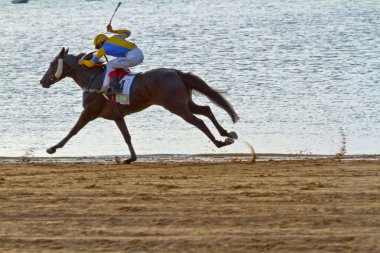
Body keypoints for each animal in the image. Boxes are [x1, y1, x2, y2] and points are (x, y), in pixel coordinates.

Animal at [40, 47, 239, 164]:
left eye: (51, 63)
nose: (42, 81)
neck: (93, 80)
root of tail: (176, 72)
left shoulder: (90, 111)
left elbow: (73, 130)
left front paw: (52, 148)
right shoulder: (117, 116)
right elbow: (126, 136)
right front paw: (131, 158)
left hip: (177, 107)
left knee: (199, 122)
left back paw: (220, 142)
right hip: (185, 103)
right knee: (207, 110)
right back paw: (227, 134)